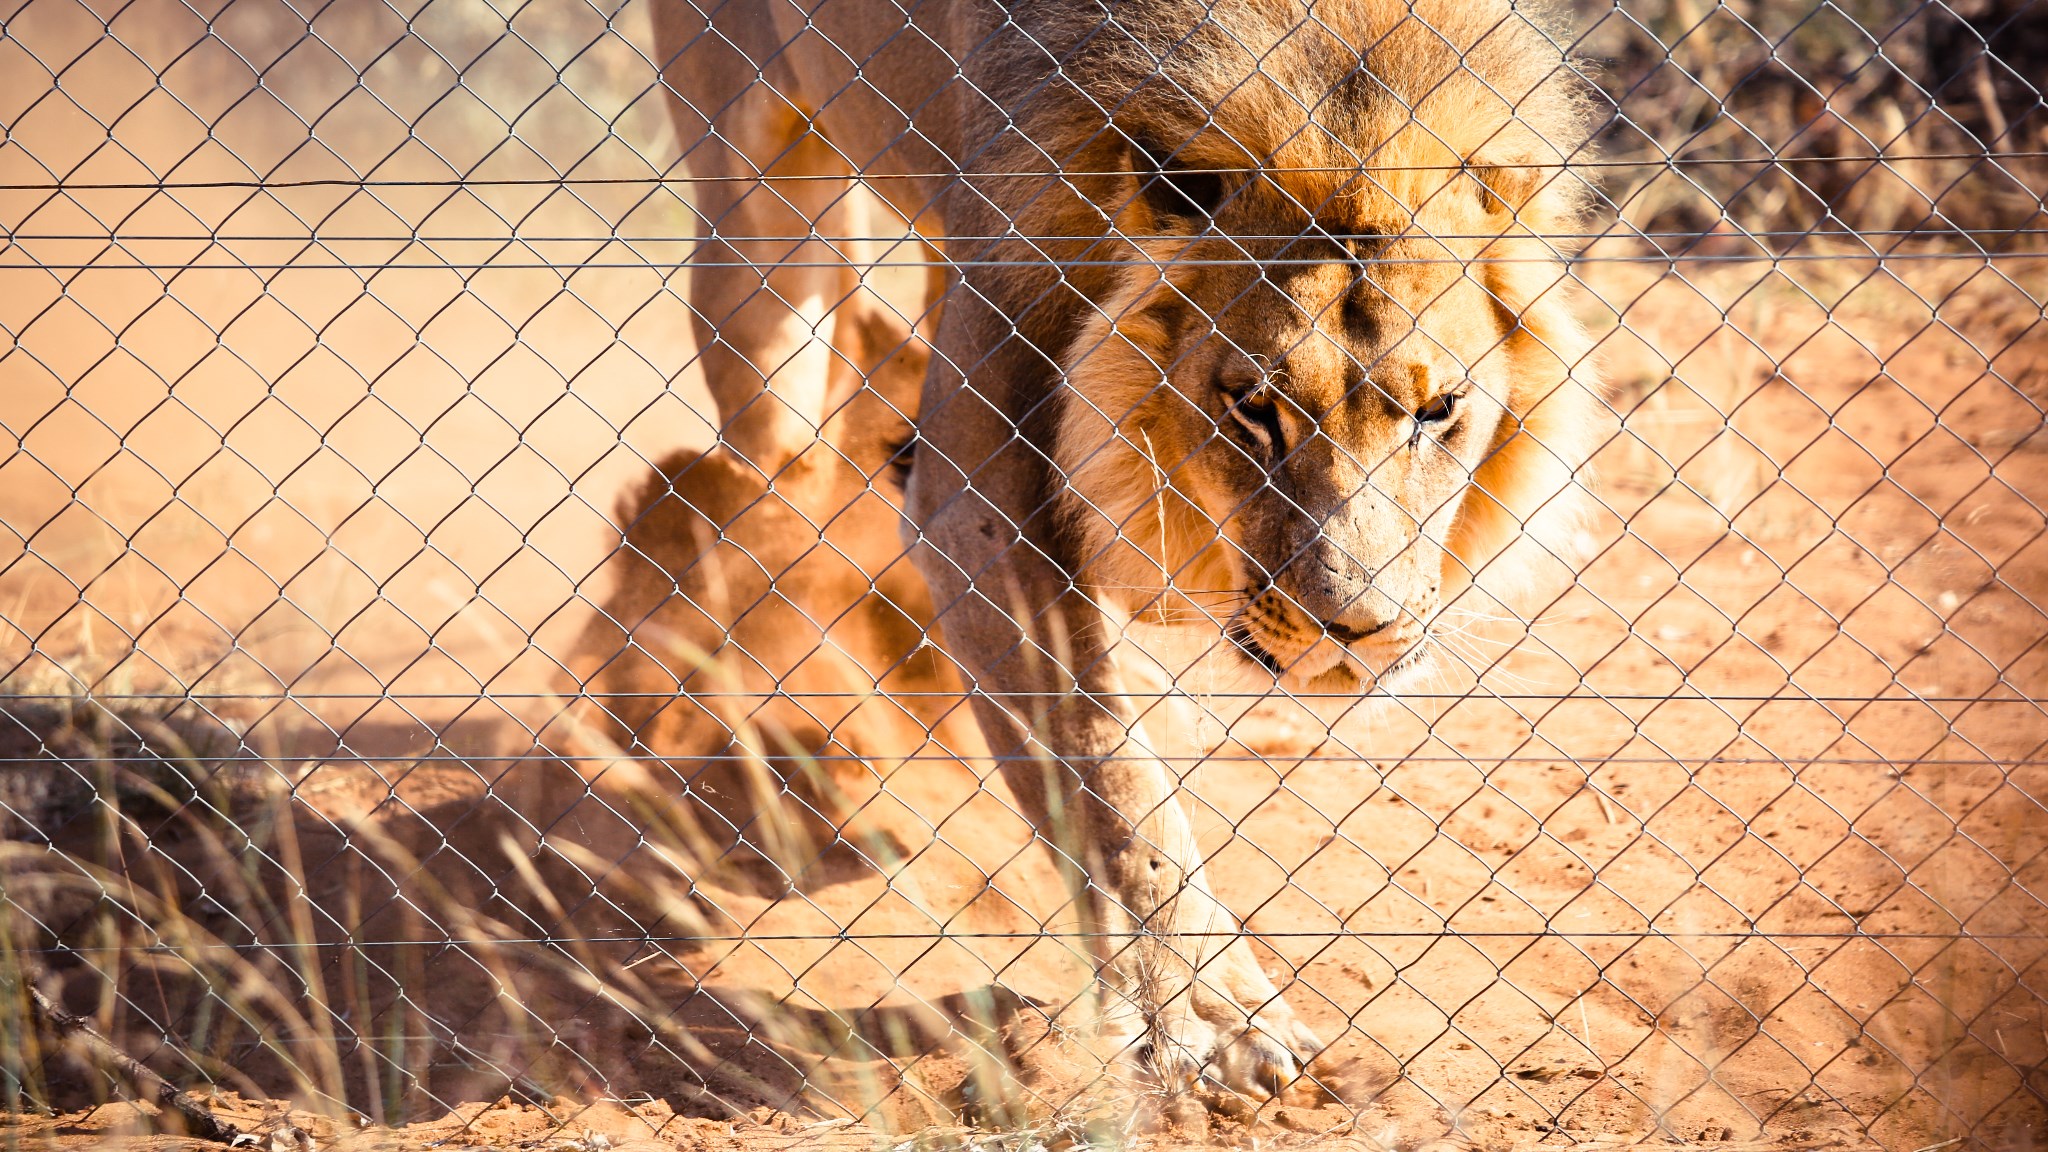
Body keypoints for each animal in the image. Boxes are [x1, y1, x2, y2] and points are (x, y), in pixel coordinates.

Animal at [594, 0, 1603, 1102]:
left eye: (1437, 409)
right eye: (1253, 409)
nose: (1353, 631)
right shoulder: (974, 504)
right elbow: (1110, 780)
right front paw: (1203, 1020)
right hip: (762, 254)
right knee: (768, 448)